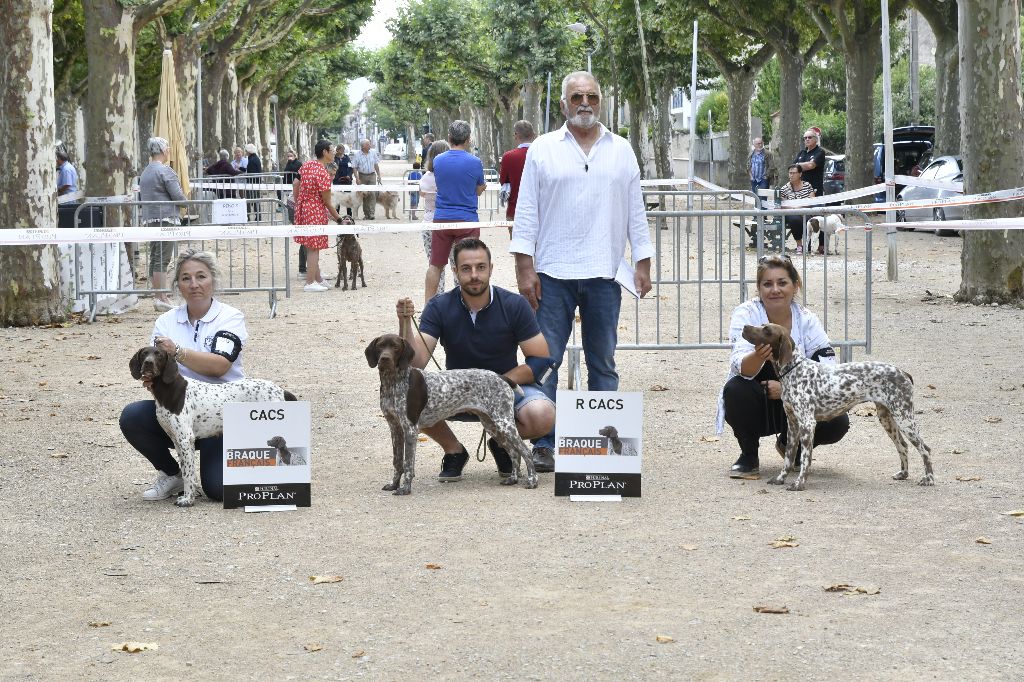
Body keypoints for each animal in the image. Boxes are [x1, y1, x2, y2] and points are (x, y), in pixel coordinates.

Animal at [362, 329, 536, 493]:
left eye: (396, 347)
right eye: (380, 346)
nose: (384, 359)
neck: (393, 382)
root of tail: (500, 377)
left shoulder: (410, 429)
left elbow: (408, 464)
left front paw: (405, 489)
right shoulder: (395, 428)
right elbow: (397, 462)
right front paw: (393, 485)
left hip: (504, 423)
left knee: (526, 452)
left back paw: (532, 481)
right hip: (492, 425)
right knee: (514, 453)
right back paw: (512, 479)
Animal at [745, 323, 937, 489]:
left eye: (767, 330)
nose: (745, 327)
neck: (794, 370)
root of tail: (903, 372)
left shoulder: (807, 424)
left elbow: (805, 459)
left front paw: (799, 483)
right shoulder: (793, 425)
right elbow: (788, 457)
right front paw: (780, 479)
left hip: (904, 418)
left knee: (925, 449)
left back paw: (929, 479)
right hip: (887, 419)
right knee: (903, 446)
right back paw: (903, 474)